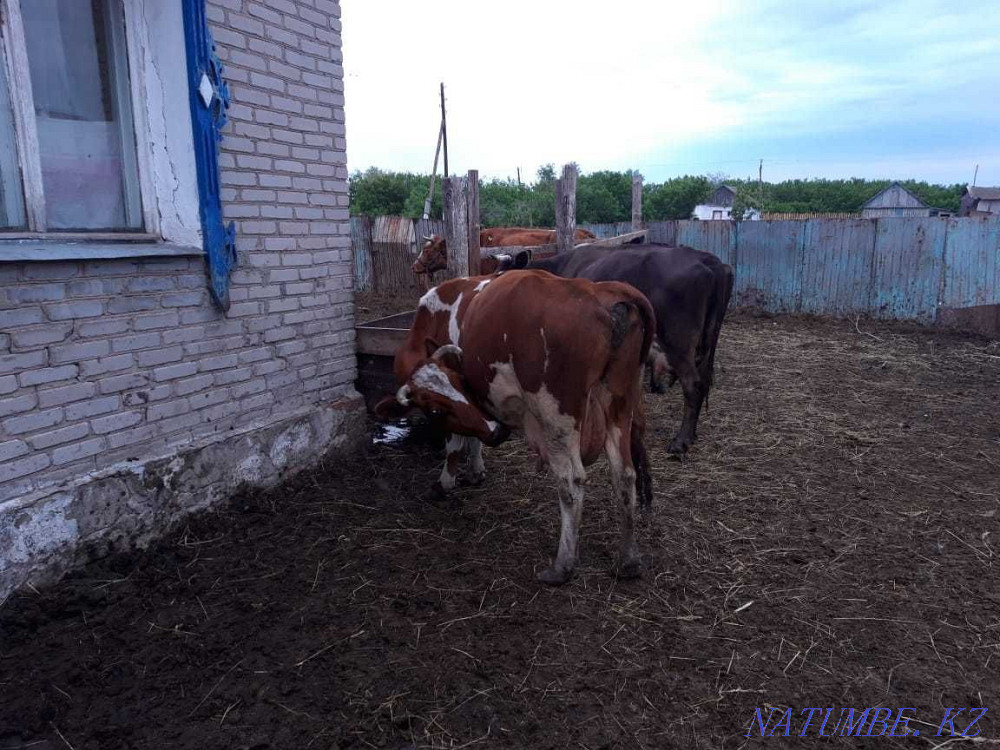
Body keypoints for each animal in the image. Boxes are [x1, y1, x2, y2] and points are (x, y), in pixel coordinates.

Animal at [376, 270, 655, 585]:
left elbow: (454, 443)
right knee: (625, 475)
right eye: (459, 381)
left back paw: (563, 565)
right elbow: (473, 438)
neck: (435, 313)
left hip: (555, 417)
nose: (499, 433)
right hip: (619, 406)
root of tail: (602, 294)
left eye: (436, 410)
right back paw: (628, 560)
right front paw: (476, 470)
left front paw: (445, 482)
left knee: (571, 482)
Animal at [499, 244, 734, 455]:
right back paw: (691, 435)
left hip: (679, 342)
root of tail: (710, 261)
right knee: (704, 380)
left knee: (693, 385)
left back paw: (680, 441)